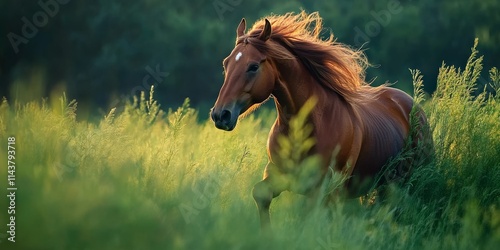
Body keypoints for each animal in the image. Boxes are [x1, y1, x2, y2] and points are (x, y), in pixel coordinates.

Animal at [209, 10, 432, 228]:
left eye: (253, 66)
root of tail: (411, 104)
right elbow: (261, 194)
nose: (220, 115)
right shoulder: (279, 175)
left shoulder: (323, 188)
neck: (312, 125)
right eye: (226, 63)